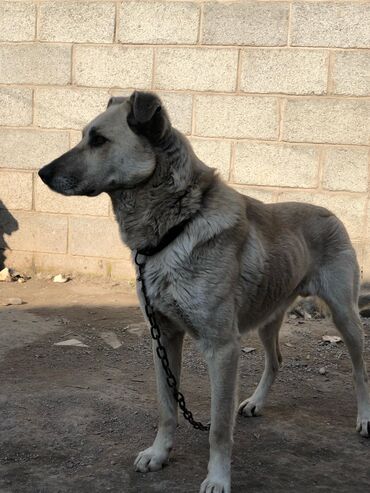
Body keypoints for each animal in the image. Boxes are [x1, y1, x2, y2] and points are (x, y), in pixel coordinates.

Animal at [38, 92, 370, 492]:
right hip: (267, 317)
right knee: (276, 360)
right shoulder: (163, 337)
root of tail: (329, 211)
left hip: (344, 316)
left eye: (99, 140)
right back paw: (256, 402)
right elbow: (167, 408)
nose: (42, 173)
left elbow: (219, 429)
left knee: (360, 371)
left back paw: (365, 420)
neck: (177, 225)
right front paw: (159, 454)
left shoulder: (222, 348)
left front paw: (218, 478)